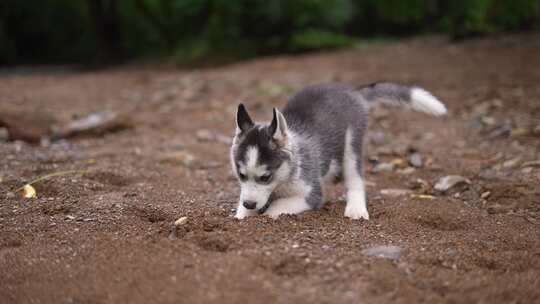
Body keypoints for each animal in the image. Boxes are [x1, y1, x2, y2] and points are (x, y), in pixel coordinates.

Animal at [232, 82, 448, 220]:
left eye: (265, 177)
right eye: (241, 176)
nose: (248, 204)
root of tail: (350, 91)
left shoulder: (311, 195)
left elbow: (277, 207)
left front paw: (266, 213)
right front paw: (243, 213)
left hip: (352, 144)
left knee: (355, 179)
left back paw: (356, 208)